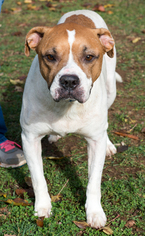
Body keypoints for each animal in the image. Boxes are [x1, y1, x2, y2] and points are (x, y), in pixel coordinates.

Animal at [20, 9, 122, 229]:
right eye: (50, 56)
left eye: (89, 56)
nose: (69, 81)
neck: (66, 107)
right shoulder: (30, 138)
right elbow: (38, 178)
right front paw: (42, 207)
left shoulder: (94, 141)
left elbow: (94, 182)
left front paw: (94, 212)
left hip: (111, 89)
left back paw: (109, 144)